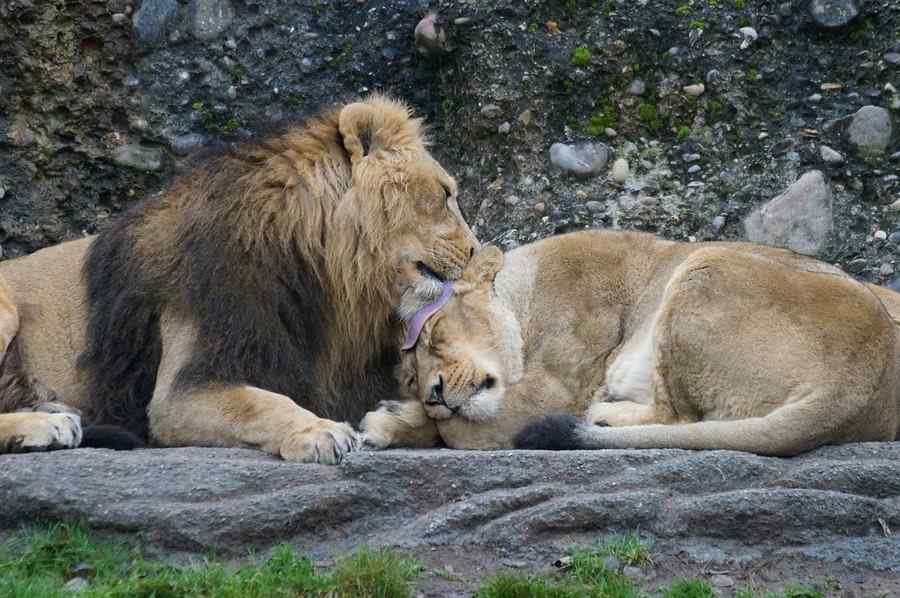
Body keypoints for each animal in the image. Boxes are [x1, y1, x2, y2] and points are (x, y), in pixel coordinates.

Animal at [0, 95, 478, 462]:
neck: (334, 281)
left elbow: (438, 417)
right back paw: (47, 423)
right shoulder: (185, 386)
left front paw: (392, 420)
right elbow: (259, 403)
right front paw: (318, 431)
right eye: (445, 194)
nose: (475, 251)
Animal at [361, 230, 900, 457]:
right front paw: (394, 419)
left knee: (679, 419)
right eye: (410, 375)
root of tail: (863, 379)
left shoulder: (558, 387)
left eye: (435, 334)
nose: (433, 394)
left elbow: (461, 431)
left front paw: (393, 422)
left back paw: (601, 417)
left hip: (702, 268)